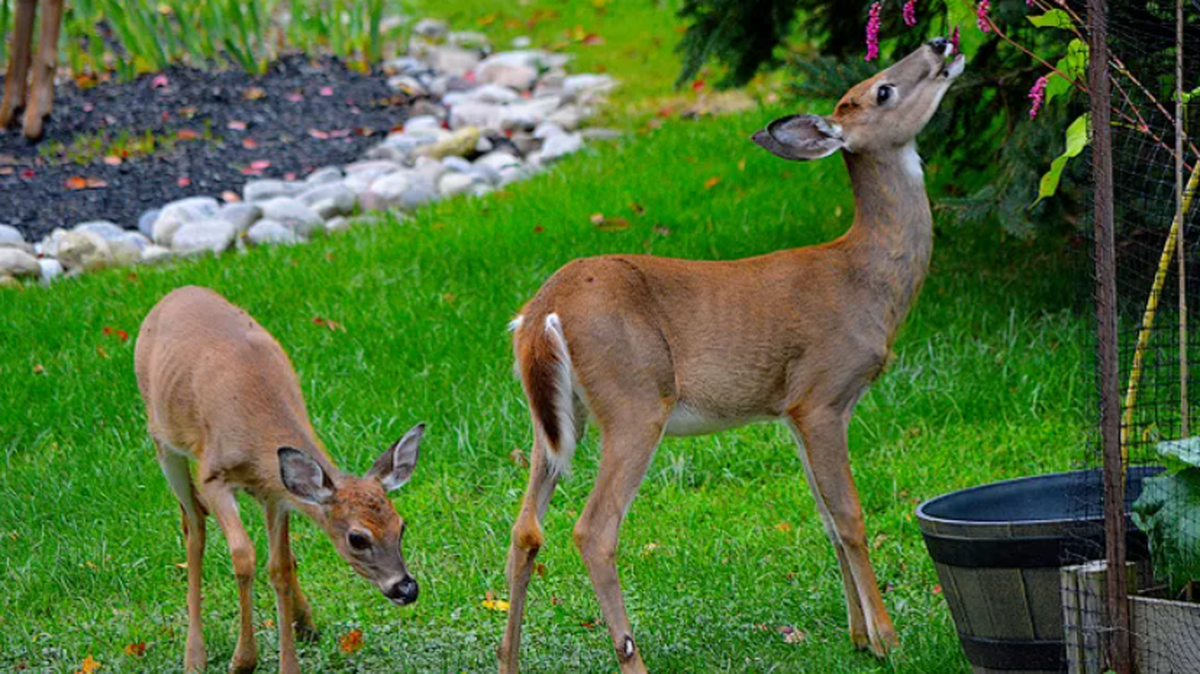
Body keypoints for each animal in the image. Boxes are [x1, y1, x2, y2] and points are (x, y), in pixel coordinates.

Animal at [135, 286, 425, 674]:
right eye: (357, 538)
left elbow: (281, 568)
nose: (406, 588)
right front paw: (243, 660)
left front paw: (289, 658)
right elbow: (243, 556)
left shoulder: (277, 495)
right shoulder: (213, 474)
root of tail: (173, 294)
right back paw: (194, 654)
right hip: (163, 441)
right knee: (193, 524)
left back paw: (305, 621)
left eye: (401, 525)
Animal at [498, 39, 965, 673]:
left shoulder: (791, 409)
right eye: (883, 90)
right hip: (636, 398)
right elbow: (849, 517)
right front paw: (888, 640)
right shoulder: (822, 393)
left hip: (554, 417)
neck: (864, 280)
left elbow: (824, 516)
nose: (942, 43)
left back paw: (509, 659)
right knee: (593, 530)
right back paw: (632, 658)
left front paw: (858, 637)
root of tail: (542, 310)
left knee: (526, 529)